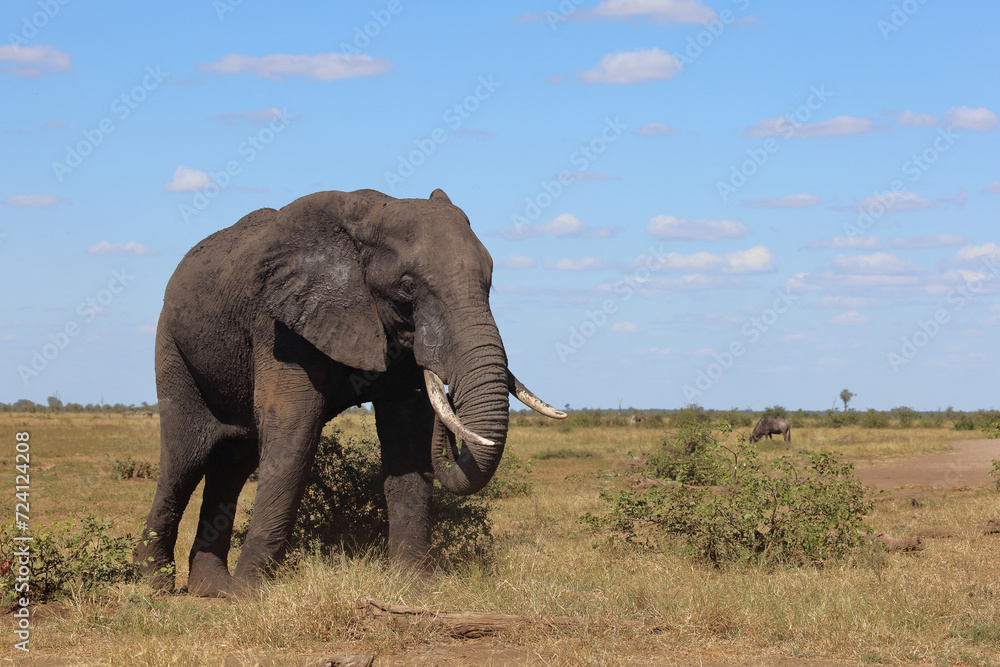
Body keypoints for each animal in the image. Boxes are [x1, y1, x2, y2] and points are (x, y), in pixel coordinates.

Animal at [134, 188, 566, 596]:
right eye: (407, 286)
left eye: (489, 281)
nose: (451, 428)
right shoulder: (282, 322)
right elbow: (293, 431)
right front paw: (250, 595)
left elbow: (408, 437)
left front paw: (414, 588)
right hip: (172, 346)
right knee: (185, 457)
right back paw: (156, 584)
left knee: (234, 460)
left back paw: (212, 588)